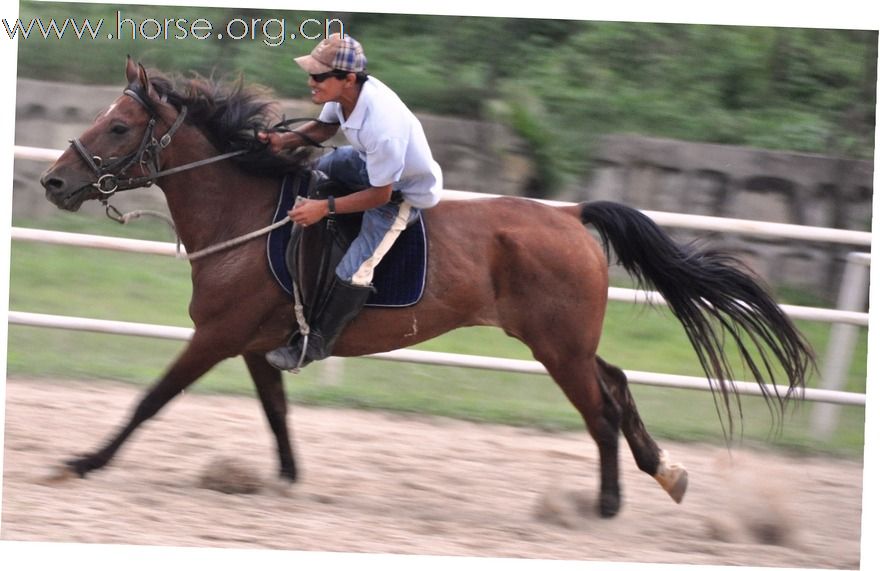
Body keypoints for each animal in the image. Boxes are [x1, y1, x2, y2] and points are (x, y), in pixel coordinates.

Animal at [37, 60, 816, 520]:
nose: (52, 180)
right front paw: (284, 478)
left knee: (599, 412)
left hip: (556, 349)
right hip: (567, 343)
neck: (248, 216)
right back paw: (664, 472)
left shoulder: (216, 337)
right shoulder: (257, 345)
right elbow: (277, 414)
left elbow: (150, 399)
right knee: (618, 385)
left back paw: (606, 502)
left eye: (118, 126)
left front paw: (82, 461)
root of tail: (570, 215)